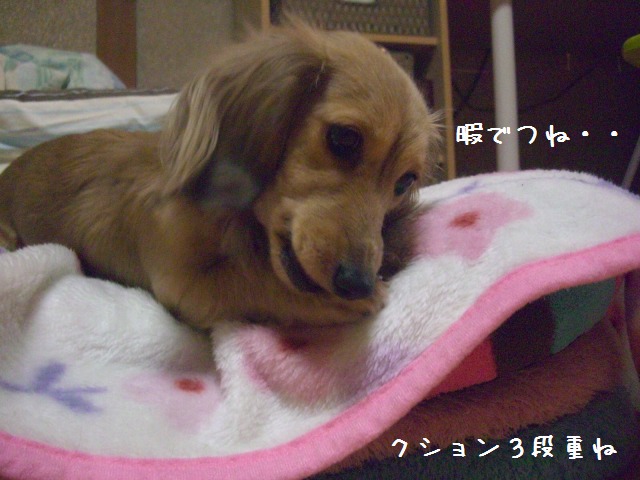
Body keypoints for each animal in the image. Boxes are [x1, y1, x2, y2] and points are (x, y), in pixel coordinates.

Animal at [0, 23, 440, 328]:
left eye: (404, 182)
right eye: (344, 138)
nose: (357, 282)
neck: (236, 219)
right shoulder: (183, 281)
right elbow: (254, 281)